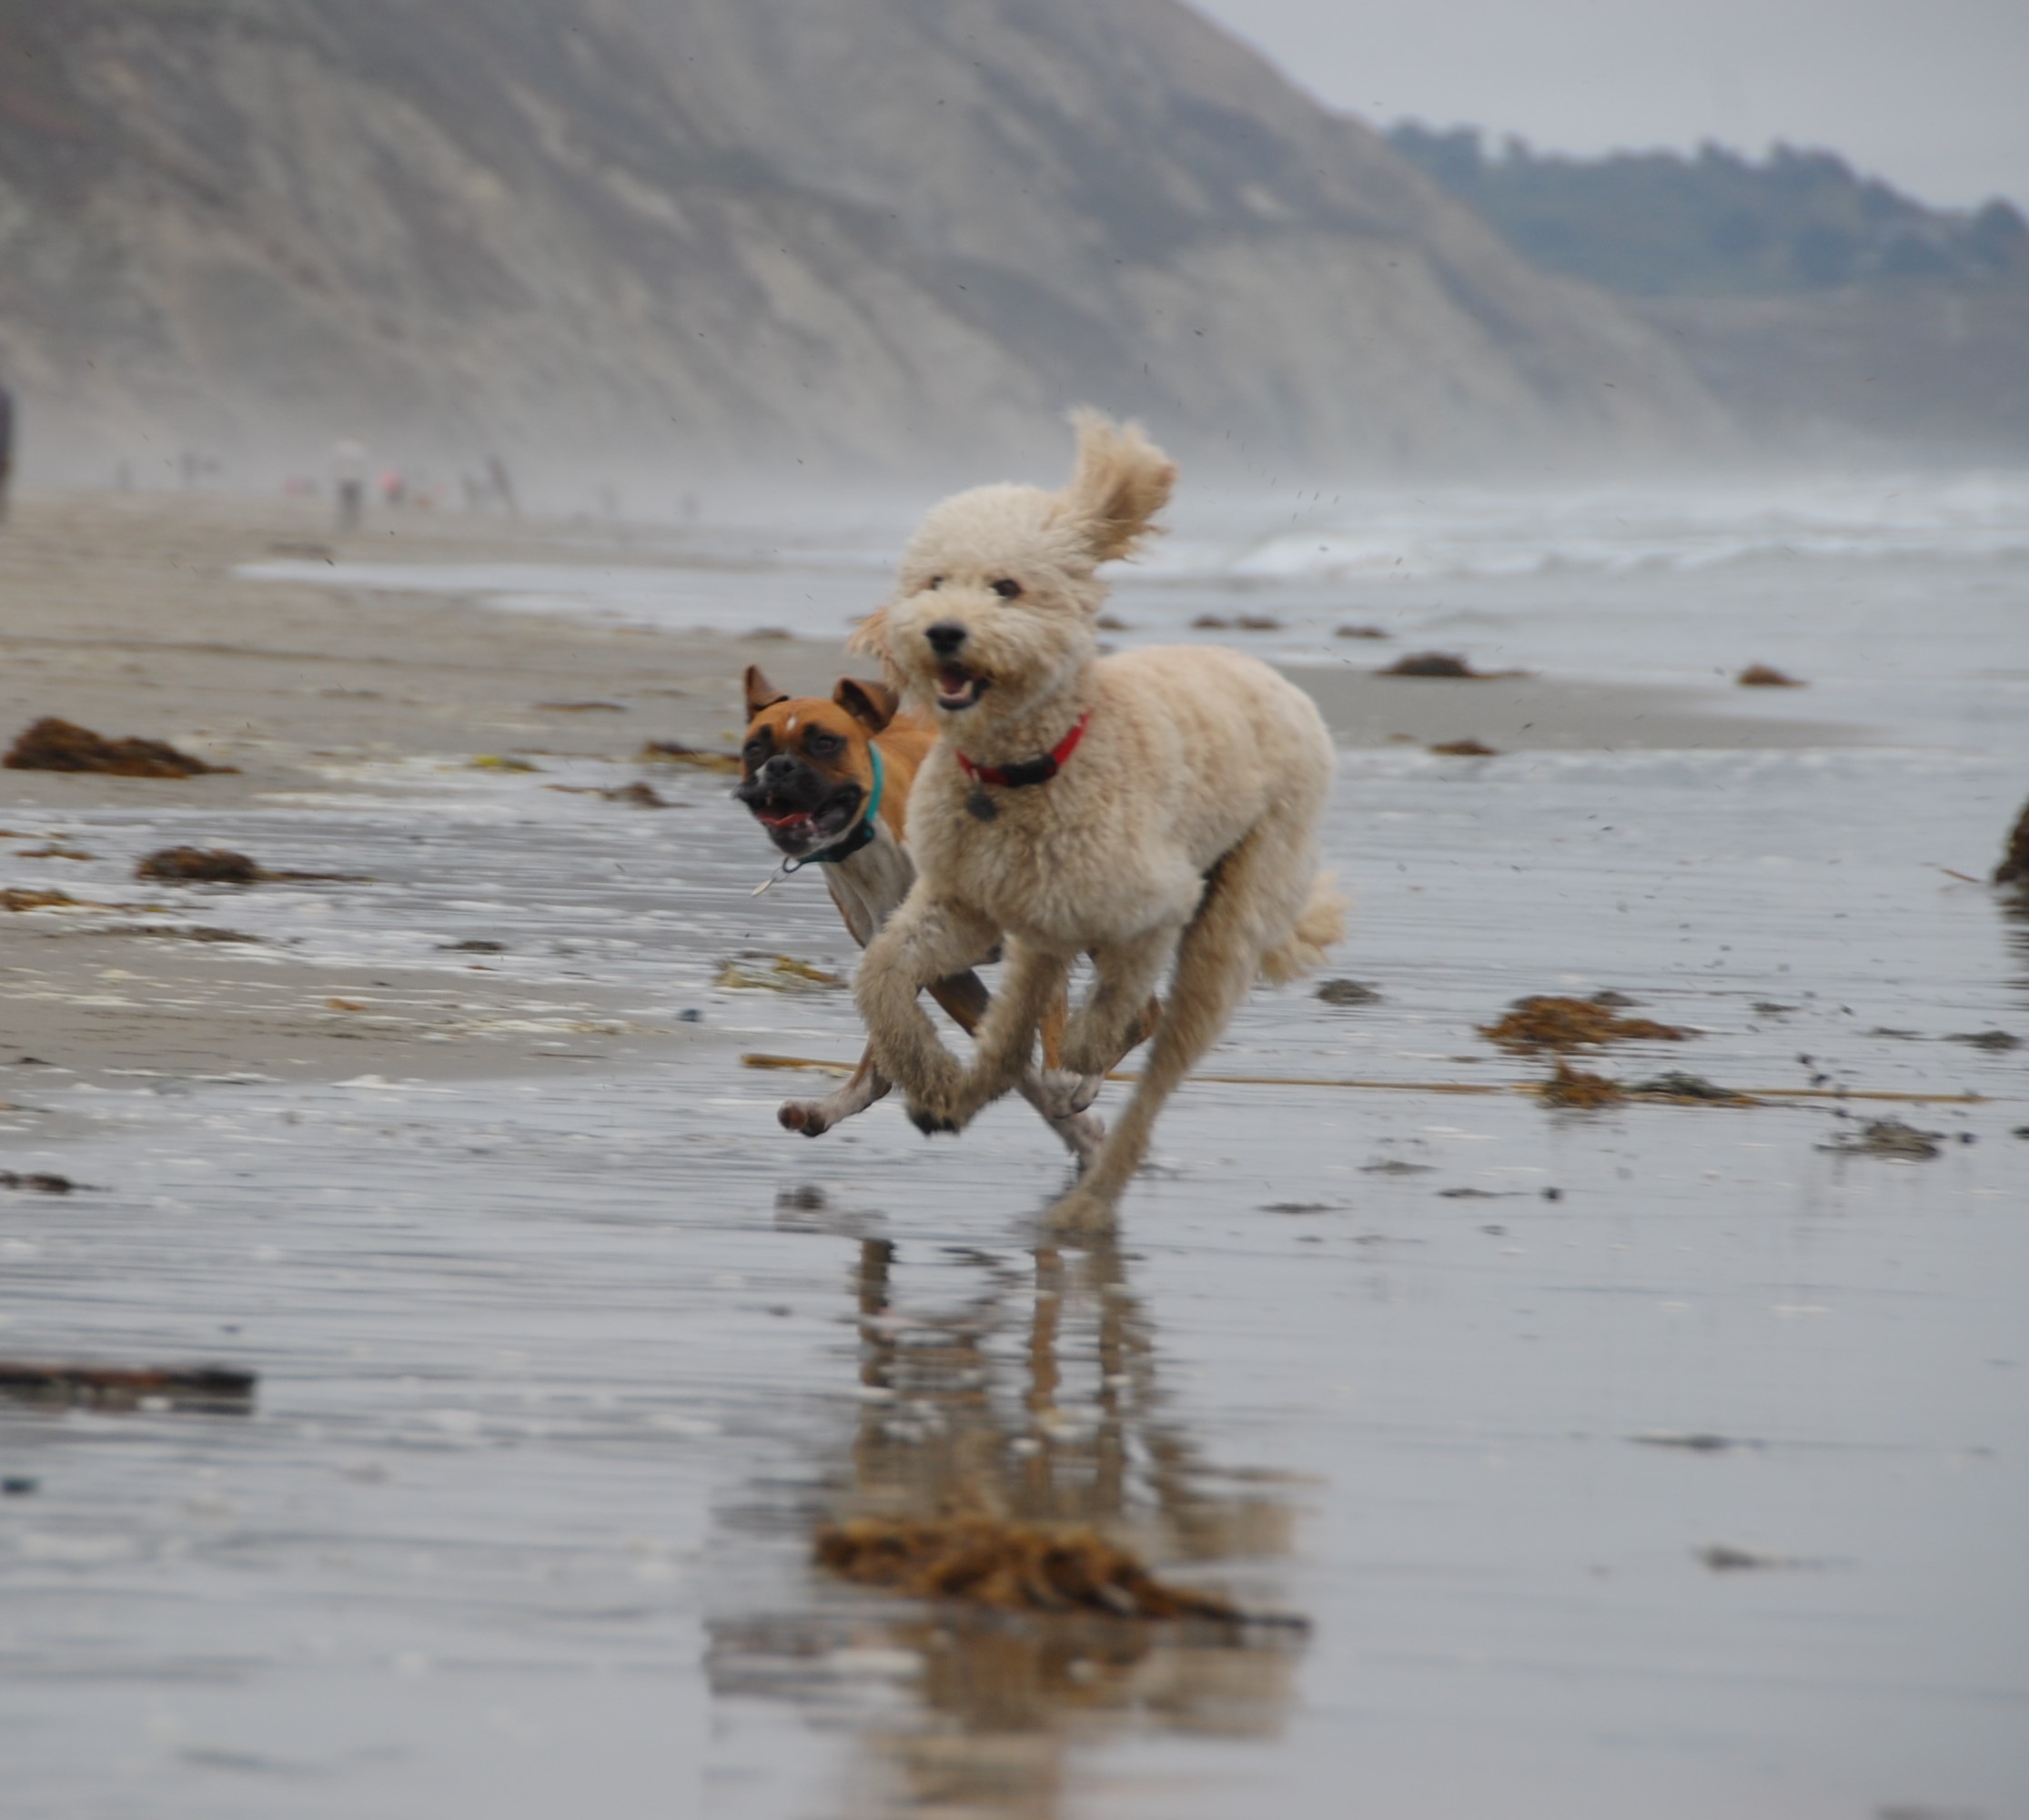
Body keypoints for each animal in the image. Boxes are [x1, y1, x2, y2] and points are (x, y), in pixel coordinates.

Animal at [734, 664, 1103, 1159]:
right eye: (755, 747)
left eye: (826, 742)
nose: (779, 767)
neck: (870, 838)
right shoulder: (935, 970)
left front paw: (1068, 1083)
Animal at [849, 412, 1345, 1228]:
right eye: (934, 581)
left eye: (1007, 587)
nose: (944, 631)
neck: (1028, 764)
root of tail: (1279, 681)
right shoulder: (963, 902)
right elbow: (884, 974)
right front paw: (925, 1072)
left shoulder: (1159, 902)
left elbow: (1116, 1002)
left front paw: (1085, 1046)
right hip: (1039, 929)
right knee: (1011, 1036)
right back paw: (959, 1098)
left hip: (1231, 914)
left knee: (1155, 1074)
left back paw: (1087, 1203)